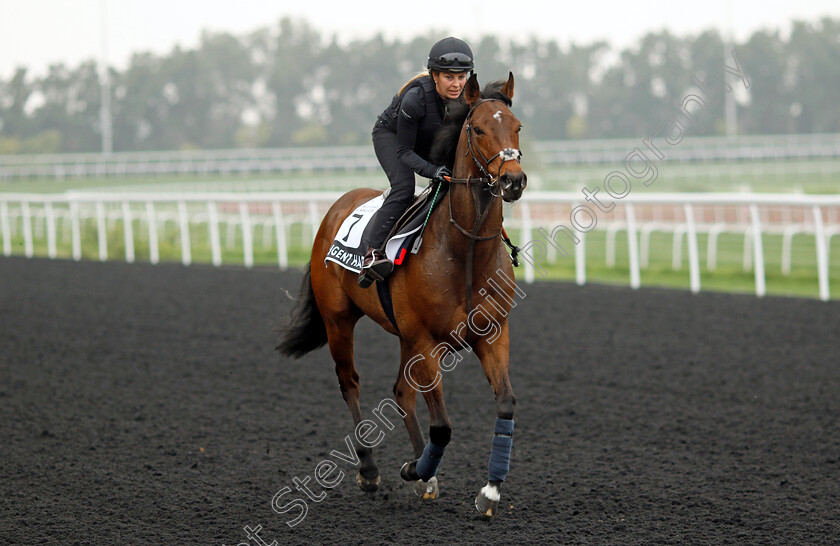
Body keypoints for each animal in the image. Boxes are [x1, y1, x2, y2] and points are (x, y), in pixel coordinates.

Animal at [278, 72, 524, 516]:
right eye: (479, 129)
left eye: (517, 127)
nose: (513, 180)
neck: (464, 252)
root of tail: (336, 208)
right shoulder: (427, 341)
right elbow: (442, 426)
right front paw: (416, 469)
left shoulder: (493, 334)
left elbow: (505, 403)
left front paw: (490, 489)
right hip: (339, 320)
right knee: (350, 383)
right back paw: (370, 470)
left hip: (404, 335)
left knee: (400, 392)